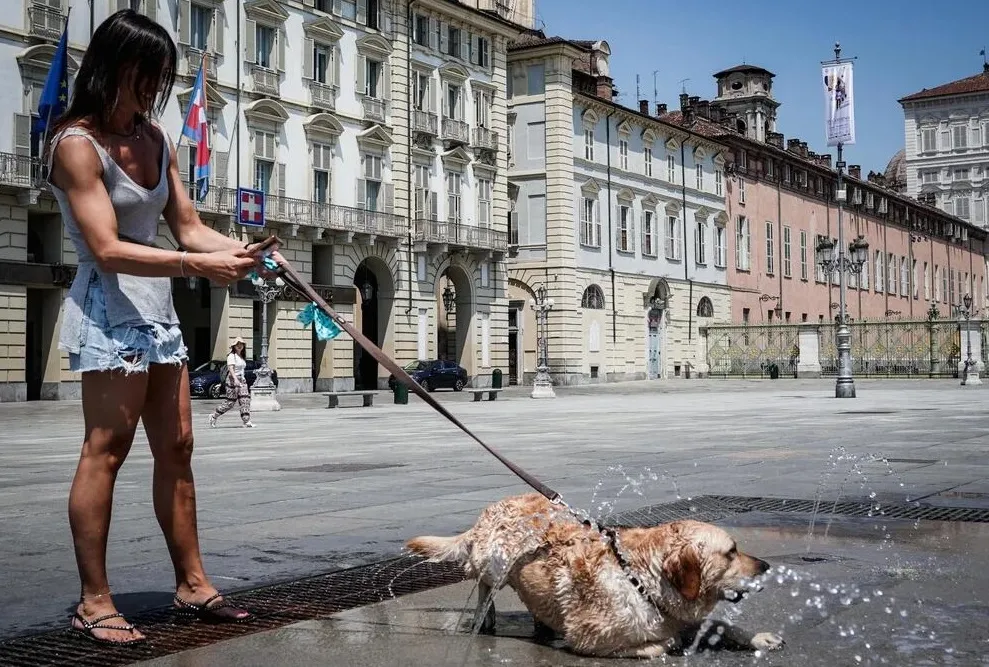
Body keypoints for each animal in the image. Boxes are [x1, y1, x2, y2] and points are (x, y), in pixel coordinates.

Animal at [406, 494, 784, 660]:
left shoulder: (677, 611)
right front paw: (668, 643)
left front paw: (759, 637)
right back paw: (486, 616)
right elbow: (659, 644)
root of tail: (493, 507)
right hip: (493, 562)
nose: (766, 566)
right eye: (731, 552)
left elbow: (724, 625)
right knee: (483, 584)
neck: (640, 579)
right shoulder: (592, 638)